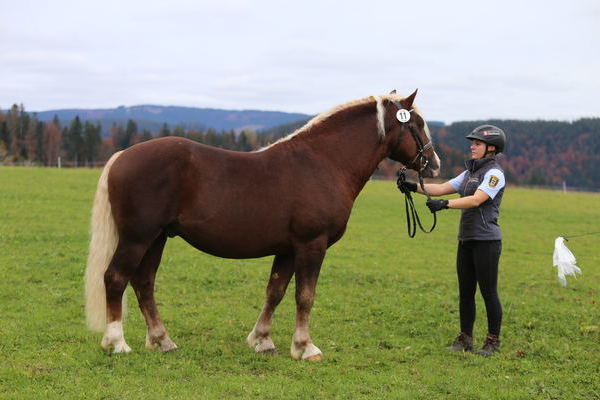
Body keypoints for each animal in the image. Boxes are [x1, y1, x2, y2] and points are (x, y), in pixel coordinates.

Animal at [84, 90, 440, 360]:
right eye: (417, 123)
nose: (434, 164)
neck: (324, 162)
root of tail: (121, 156)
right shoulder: (311, 245)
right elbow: (304, 296)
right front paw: (305, 347)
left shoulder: (288, 249)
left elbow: (275, 292)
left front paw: (263, 341)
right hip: (137, 238)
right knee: (115, 278)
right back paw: (117, 343)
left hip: (157, 238)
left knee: (143, 283)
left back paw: (162, 341)